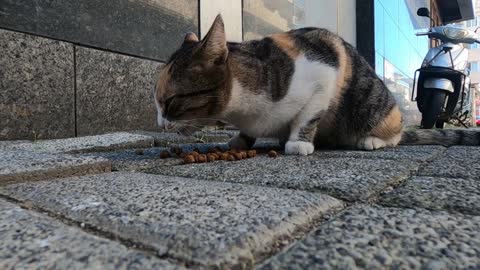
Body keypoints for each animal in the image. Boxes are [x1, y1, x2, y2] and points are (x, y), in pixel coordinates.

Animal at [154, 14, 480, 155]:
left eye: (170, 102)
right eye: (157, 103)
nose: (159, 123)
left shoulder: (325, 74)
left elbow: (307, 117)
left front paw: (298, 143)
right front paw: (241, 140)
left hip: (377, 109)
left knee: (395, 134)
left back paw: (372, 140)